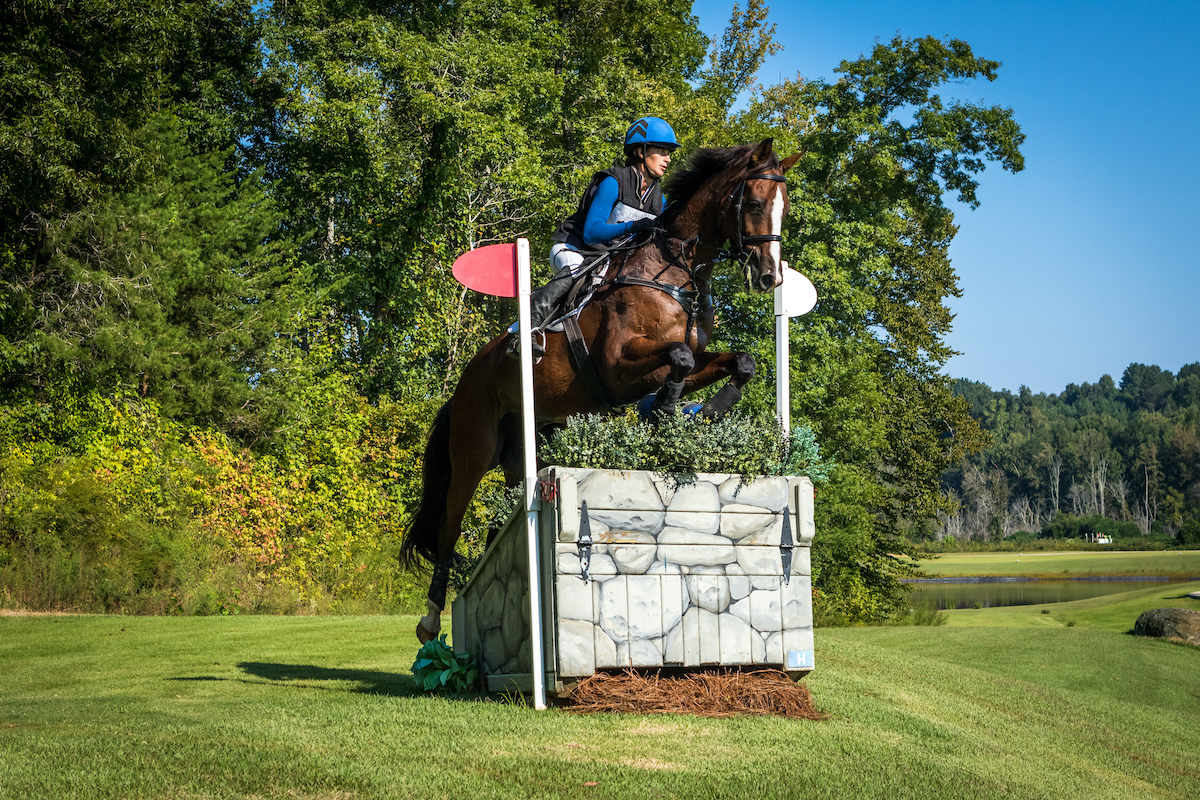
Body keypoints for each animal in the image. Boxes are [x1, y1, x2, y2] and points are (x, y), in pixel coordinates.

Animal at [398, 136, 801, 638]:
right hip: (474, 451)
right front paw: (667, 410)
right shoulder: (617, 367)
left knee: (501, 518)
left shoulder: (682, 361)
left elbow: (738, 362)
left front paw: (704, 412)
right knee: (449, 526)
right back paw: (430, 619)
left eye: (786, 208)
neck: (674, 274)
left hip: (525, 450)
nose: (771, 277)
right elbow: (679, 357)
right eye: (755, 202)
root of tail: (463, 384)